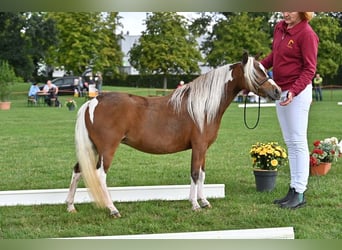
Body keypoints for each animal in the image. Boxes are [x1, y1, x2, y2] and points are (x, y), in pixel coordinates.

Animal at [65, 52, 280, 217]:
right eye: (258, 71)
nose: (277, 91)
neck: (203, 106)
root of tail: (93, 101)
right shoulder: (198, 146)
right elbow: (194, 174)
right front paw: (195, 205)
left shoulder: (203, 149)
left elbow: (202, 174)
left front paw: (204, 201)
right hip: (107, 149)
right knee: (100, 175)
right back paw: (112, 209)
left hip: (92, 148)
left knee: (77, 170)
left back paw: (70, 206)